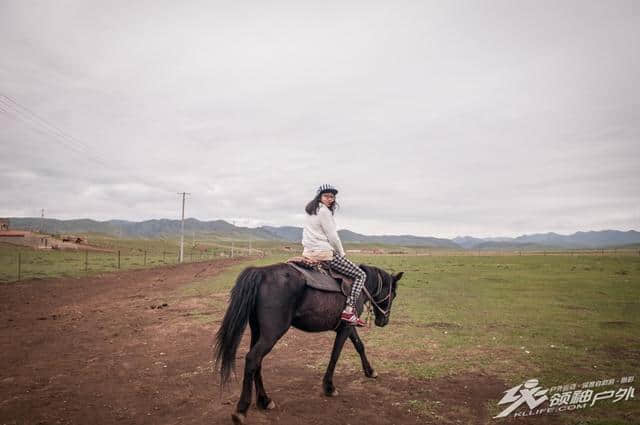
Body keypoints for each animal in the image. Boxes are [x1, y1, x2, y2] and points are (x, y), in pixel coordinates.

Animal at [218, 260, 402, 422]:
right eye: (393, 295)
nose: (384, 321)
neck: (360, 287)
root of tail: (261, 272)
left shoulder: (348, 326)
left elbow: (359, 346)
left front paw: (370, 371)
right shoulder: (345, 328)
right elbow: (335, 355)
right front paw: (329, 387)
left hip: (258, 331)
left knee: (257, 362)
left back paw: (264, 400)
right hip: (272, 334)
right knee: (252, 359)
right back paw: (242, 409)